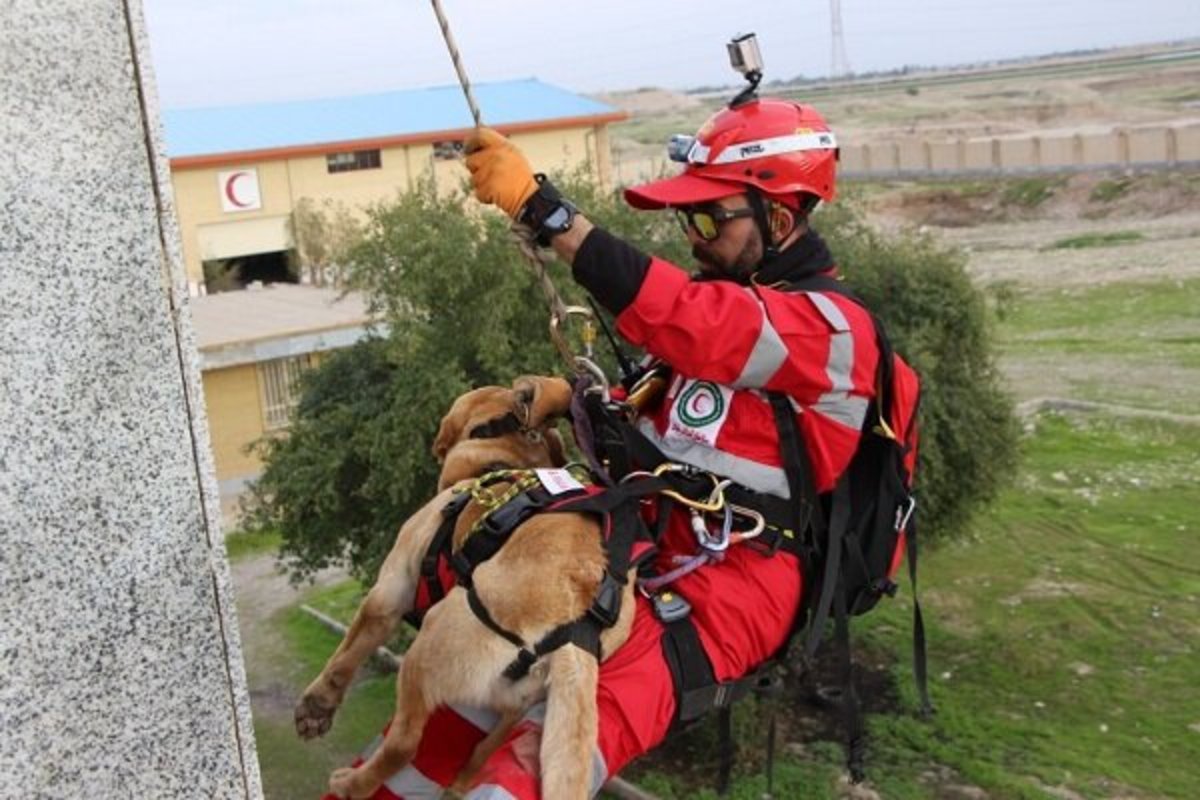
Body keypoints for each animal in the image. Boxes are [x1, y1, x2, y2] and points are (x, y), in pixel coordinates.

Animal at [295, 376, 638, 800]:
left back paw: (351, 783)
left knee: (404, 745)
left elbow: (346, 655)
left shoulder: (390, 590)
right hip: (514, 706)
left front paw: (317, 707)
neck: (506, 460)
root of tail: (575, 631)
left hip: (429, 646)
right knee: (480, 753)